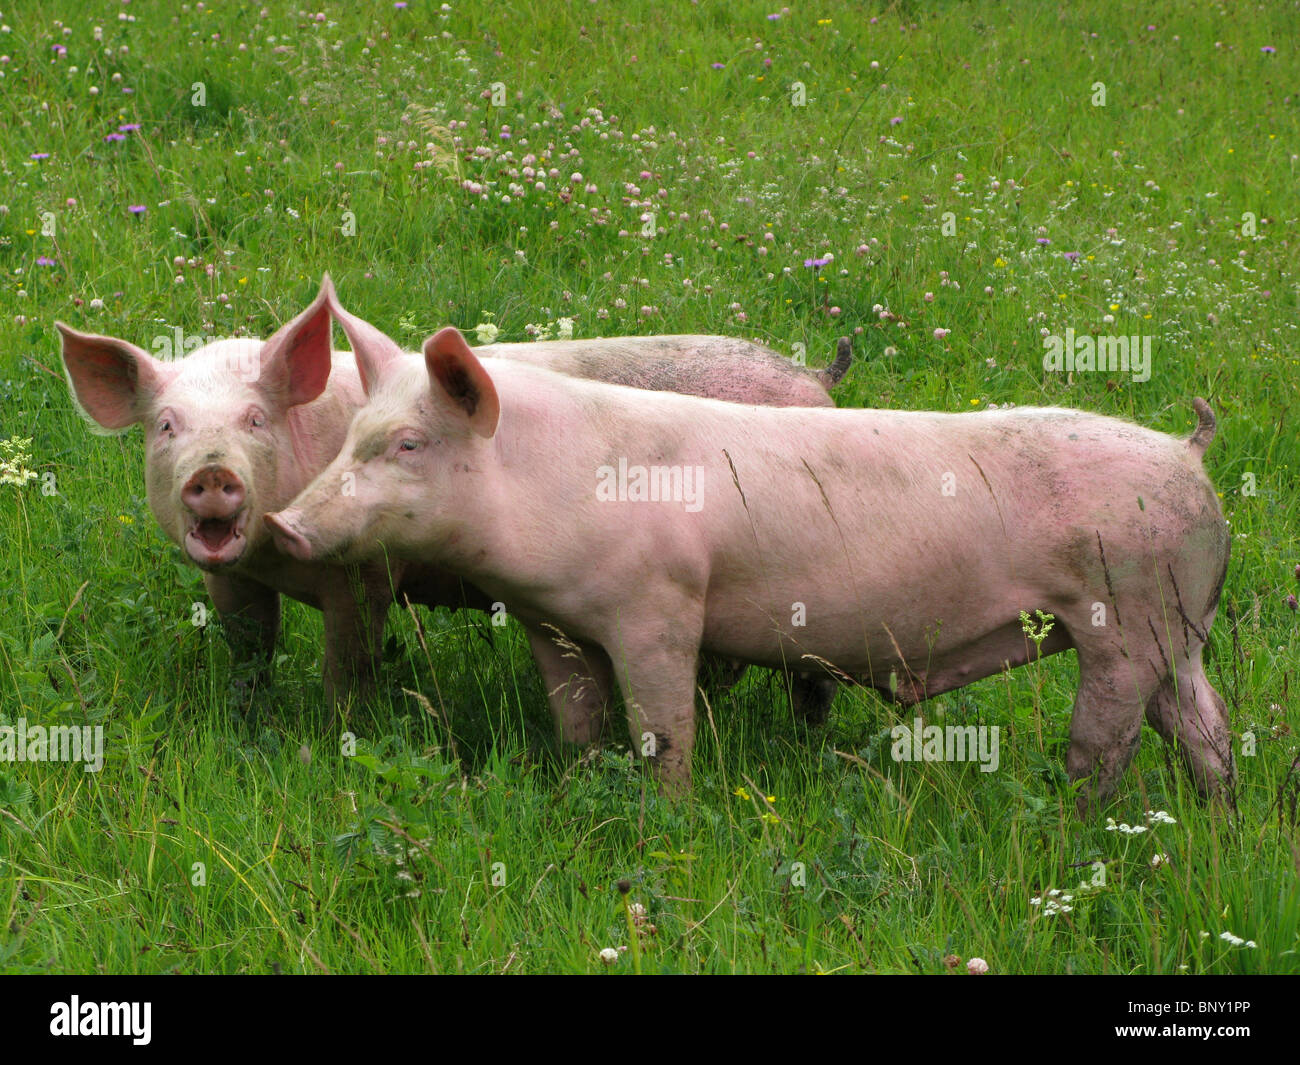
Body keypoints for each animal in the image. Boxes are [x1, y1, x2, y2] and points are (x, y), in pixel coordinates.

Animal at [55, 279, 847, 717]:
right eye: (166, 426)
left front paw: (332, 733)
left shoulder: (364, 575)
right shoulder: (234, 579)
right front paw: (249, 719)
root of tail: (815, 376)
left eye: (254, 421)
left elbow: (349, 664)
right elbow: (250, 650)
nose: (213, 471)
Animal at [271, 326, 1227, 816]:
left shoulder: (661, 608)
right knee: (1206, 728)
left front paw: (666, 818)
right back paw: (1218, 819)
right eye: (355, 435)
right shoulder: (550, 620)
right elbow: (577, 717)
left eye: (409, 443)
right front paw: (579, 781)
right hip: (1174, 630)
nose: (283, 525)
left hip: (1124, 618)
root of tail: (1187, 452)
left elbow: (662, 729)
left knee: (1108, 739)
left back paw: (1077, 821)